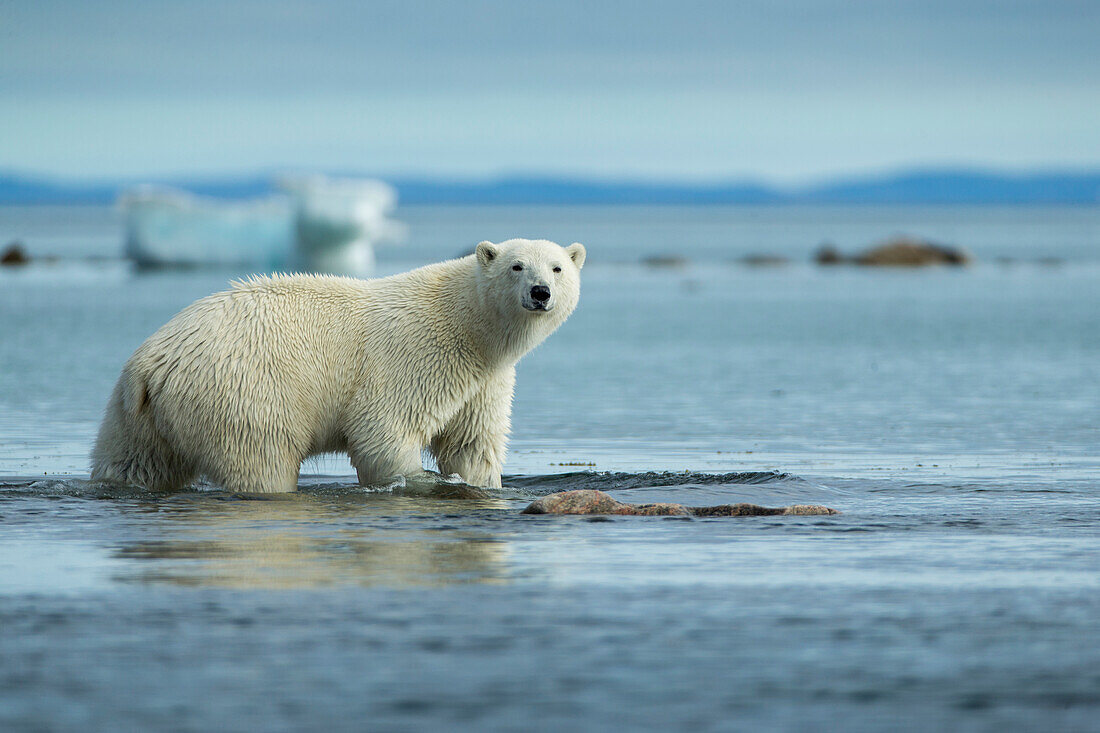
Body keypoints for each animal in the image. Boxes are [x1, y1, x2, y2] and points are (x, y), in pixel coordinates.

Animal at [89, 239, 585, 490]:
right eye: (517, 266)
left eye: (558, 267)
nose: (540, 292)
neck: (468, 327)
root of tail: (153, 361)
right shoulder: (413, 358)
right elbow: (383, 433)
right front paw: (415, 480)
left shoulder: (483, 380)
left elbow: (471, 444)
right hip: (243, 391)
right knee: (262, 462)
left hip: (136, 412)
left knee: (133, 463)